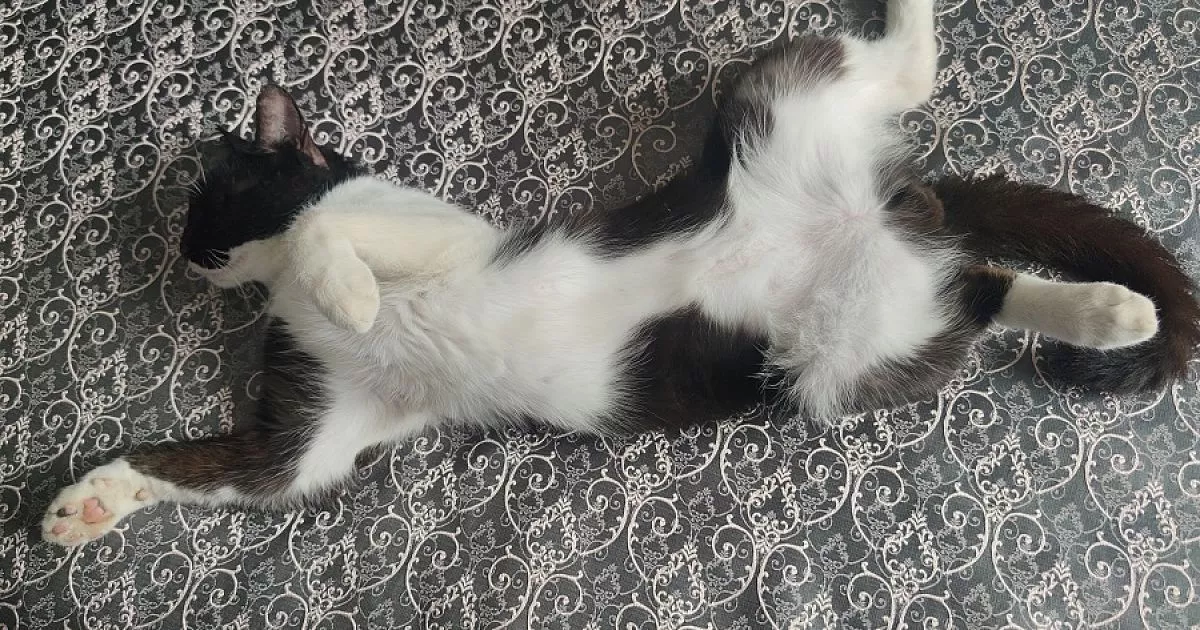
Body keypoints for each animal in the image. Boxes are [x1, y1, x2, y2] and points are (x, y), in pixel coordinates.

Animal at [42, 0, 1200, 547]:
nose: (186, 254)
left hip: (774, 117)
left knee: (930, 146)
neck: (279, 293)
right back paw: (1107, 309)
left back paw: (1113, 310)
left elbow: (333, 232)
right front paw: (89, 503)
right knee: (974, 287)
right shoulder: (314, 434)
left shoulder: (441, 237)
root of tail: (891, 203)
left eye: (219, 197)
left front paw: (351, 288)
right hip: (857, 340)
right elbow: (229, 468)